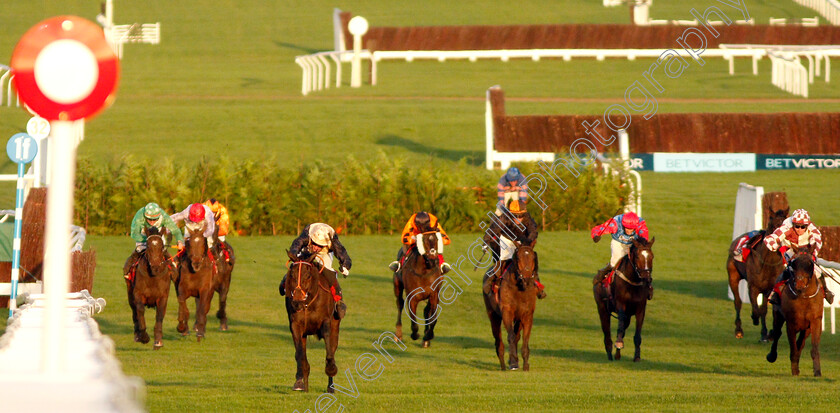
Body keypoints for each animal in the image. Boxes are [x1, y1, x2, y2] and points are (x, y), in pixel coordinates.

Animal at [278, 249, 338, 392]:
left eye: (308, 275)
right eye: (292, 275)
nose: (297, 302)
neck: (307, 304)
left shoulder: (325, 321)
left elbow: (329, 350)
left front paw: (331, 368)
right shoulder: (296, 326)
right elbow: (300, 354)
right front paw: (301, 383)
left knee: (332, 348)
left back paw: (331, 386)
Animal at [480, 241, 540, 370]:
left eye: (533, 257)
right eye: (518, 258)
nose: (527, 280)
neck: (520, 289)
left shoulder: (527, 315)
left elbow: (525, 339)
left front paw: (525, 365)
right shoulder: (507, 312)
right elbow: (510, 336)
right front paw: (513, 362)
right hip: (493, 316)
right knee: (498, 341)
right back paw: (503, 365)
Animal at [728, 208, 788, 340]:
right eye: (773, 225)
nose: (778, 244)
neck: (767, 263)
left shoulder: (769, 289)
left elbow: (763, 310)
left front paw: (765, 333)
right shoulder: (753, 287)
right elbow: (756, 310)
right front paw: (754, 319)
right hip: (733, 276)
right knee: (737, 302)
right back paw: (738, 330)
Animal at [764, 245, 824, 376]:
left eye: (810, 264)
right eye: (794, 263)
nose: (799, 283)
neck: (803, 296)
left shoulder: (815, 321)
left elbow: (812, 347)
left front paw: (817, 371)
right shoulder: (791, 323)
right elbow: (793, 347)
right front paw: (795, 370)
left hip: (806, 329)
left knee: (801, 342)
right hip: (778, 315)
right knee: (777, 333)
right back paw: (772, 356)